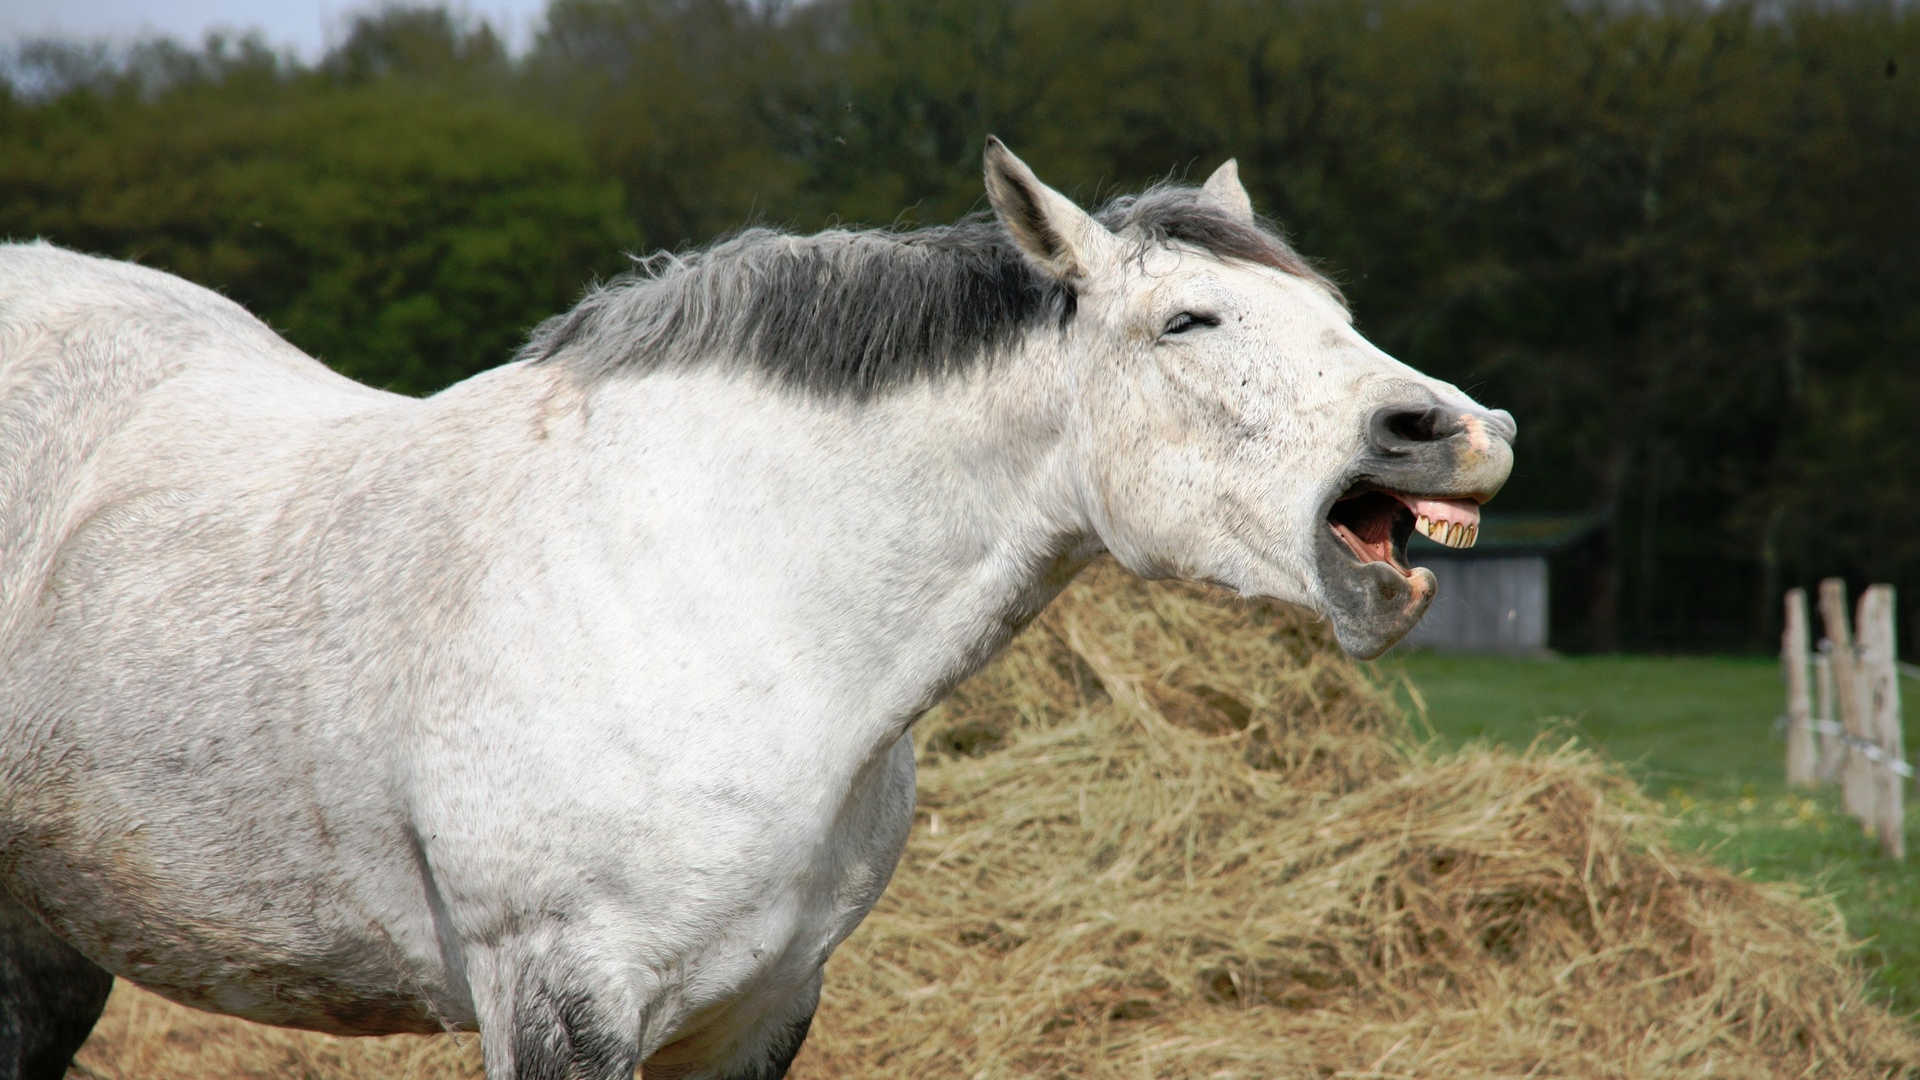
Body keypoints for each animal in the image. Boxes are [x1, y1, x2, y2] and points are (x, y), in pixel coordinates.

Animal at [3, 138, 1512, 1068]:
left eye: (1335, 314)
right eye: (1187, 323)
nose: (1454, 431)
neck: (726, 599)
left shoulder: (762, 1009)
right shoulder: (557, 1000)